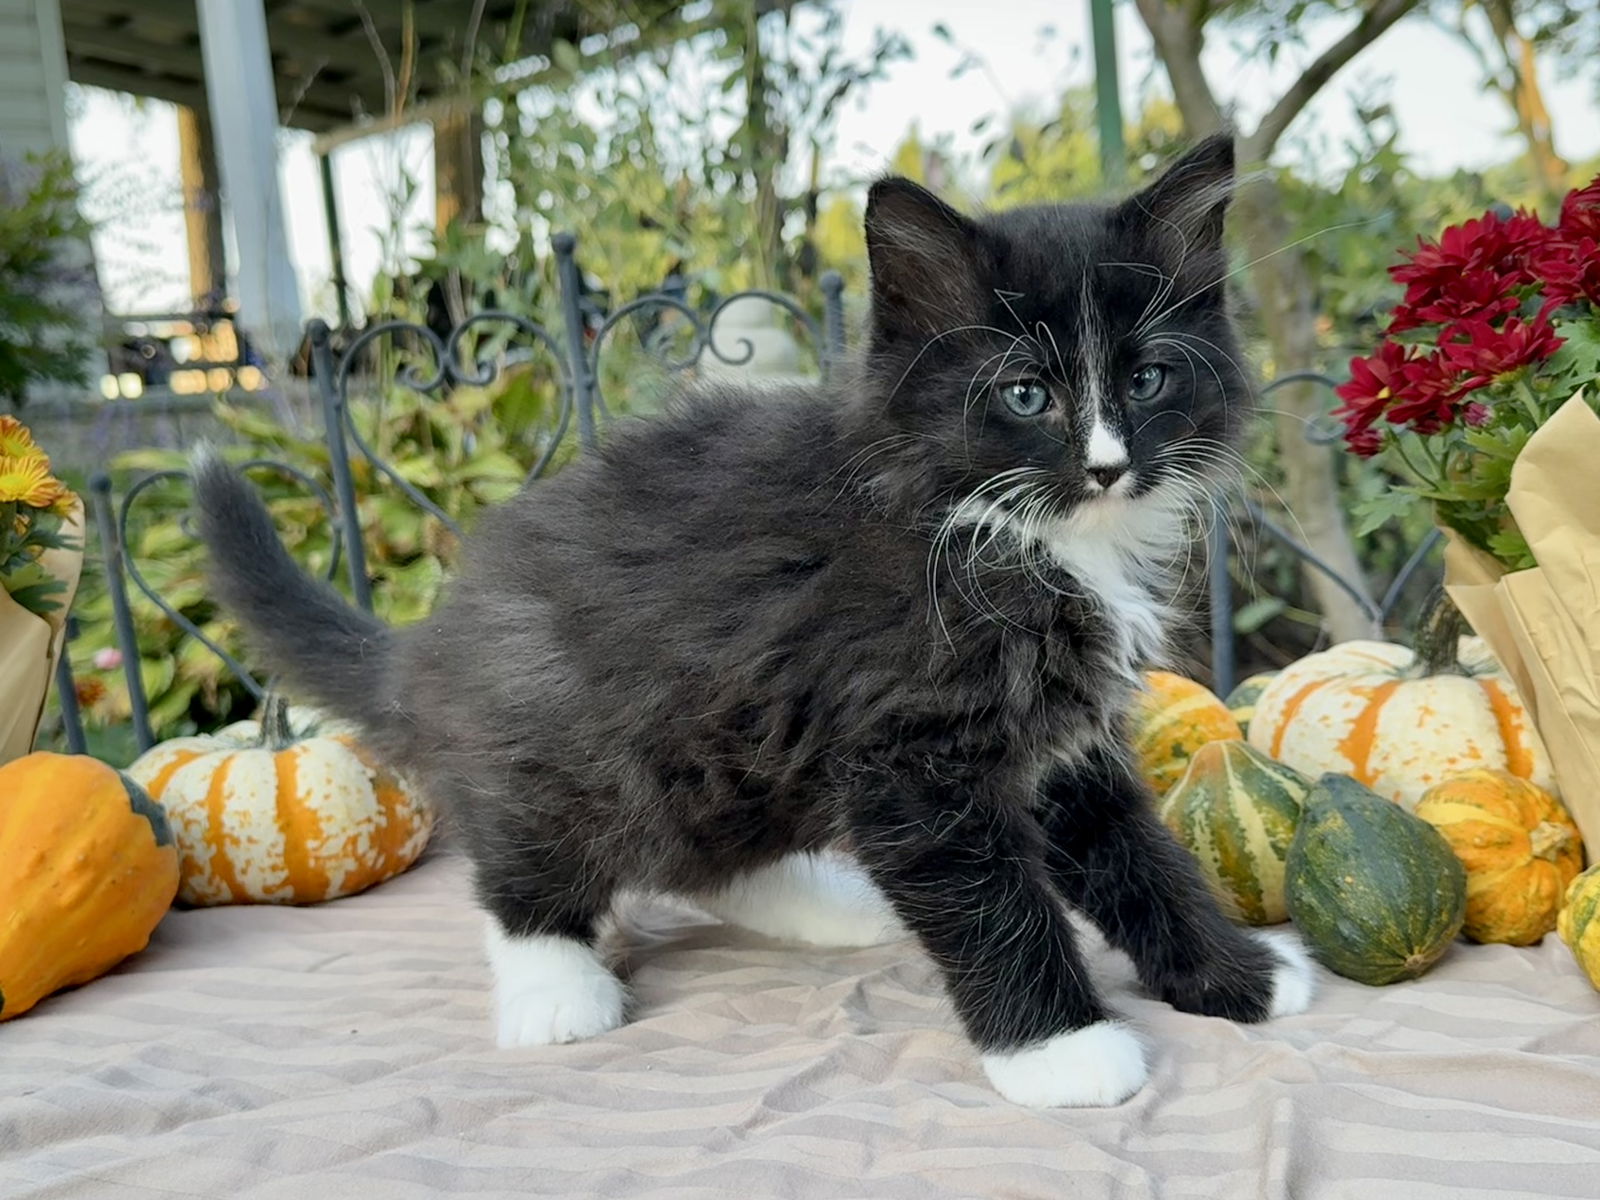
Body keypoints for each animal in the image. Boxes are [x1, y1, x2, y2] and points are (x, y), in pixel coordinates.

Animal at [193, 131, 1312, 1107]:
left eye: (1148, 377)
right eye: (1027, 394)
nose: (1109, 464)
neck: (1011, 533)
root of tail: (437, 642)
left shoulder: (1061, 739)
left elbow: (1140, 856)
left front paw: (1240, 972)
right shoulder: (911, 750)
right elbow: (992, 898)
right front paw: (1061, 1050)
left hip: (730, 745)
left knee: (707, 853)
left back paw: (823, 910)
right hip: (571, 730)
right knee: (534, 850)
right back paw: (554, 985)